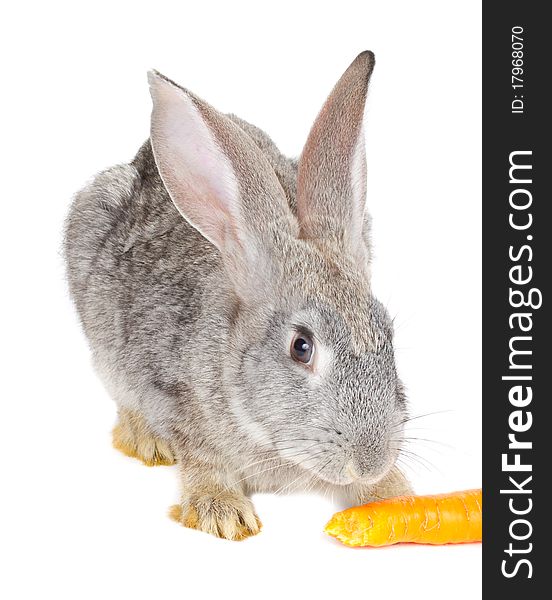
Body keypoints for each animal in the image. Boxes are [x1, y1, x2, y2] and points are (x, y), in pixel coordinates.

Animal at [63, 50, 410, 540]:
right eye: (301, 347)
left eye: (388, 335)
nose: (370, 461)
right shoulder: (175, 398)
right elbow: (202, 458)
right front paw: (223, 513)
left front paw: (394, 495)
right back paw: (147, 441)